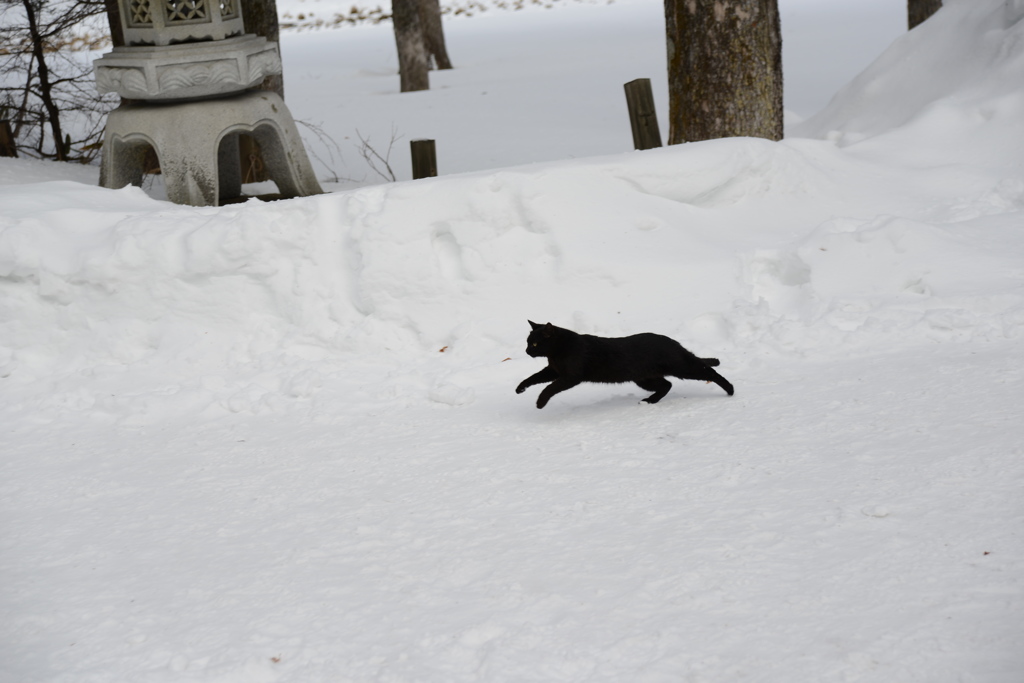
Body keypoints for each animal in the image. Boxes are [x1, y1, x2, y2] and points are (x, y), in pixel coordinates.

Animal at [516, 319, 733, 409]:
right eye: (527, 342)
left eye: (534, 343)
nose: (526, 351)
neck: (555, 353)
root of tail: (672, 341)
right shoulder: (553, 370)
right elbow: (533, 377)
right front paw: (520, 389)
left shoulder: (570, 376)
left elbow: (549, 388)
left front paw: (540, 403)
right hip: (644, 379)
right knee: (667, 384)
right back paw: (650, 401)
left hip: (681, 367)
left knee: (708, 371)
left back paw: (730, 390)